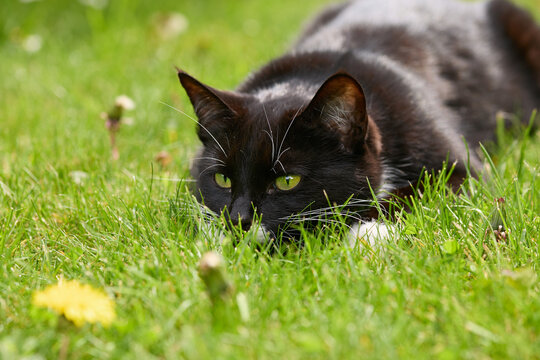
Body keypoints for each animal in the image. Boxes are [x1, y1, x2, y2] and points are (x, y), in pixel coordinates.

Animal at [178, 0, 540, 245]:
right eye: (222, 179)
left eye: (287, 181)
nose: (238, 220)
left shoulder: (459, 166)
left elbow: (423, 191)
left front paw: (369, 231)